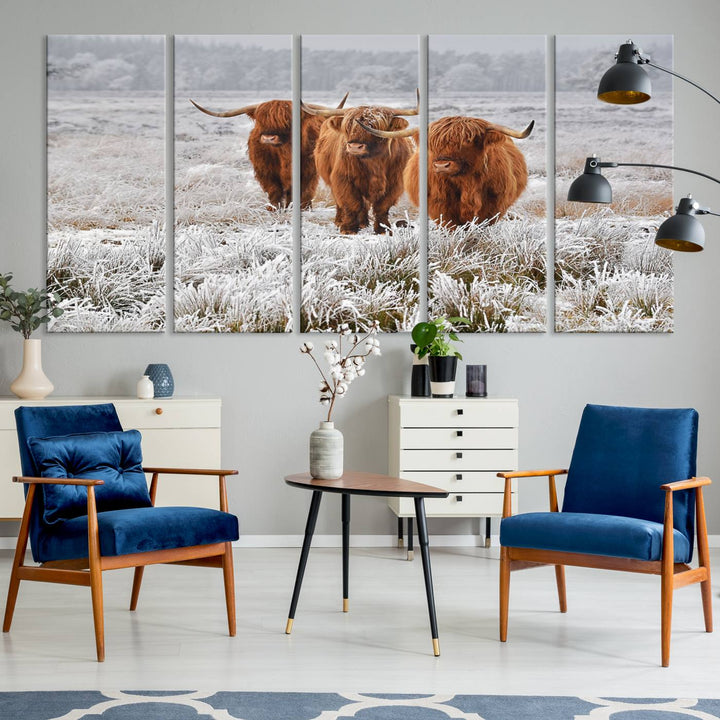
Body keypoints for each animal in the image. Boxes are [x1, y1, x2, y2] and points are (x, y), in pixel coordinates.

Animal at [191, 94, 348, 210]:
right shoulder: (266, 171)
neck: (285, 154)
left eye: (287, 120)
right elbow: (274, 190)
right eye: (261, 120)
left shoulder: (307, 170)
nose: (268, 138)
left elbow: (301, 189)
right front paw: (273, 208)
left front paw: (299, 207)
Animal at [300, 93, 420, 233]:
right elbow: (351, 203)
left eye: (374, 126)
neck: (375, 163)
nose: (354, 146)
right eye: (348, 126)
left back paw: (364, 223)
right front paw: (348, 229)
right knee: (342, 202)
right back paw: (340, 221)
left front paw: (383, 229)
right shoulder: (343, 179)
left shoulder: (395, 183)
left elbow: (382, 206)